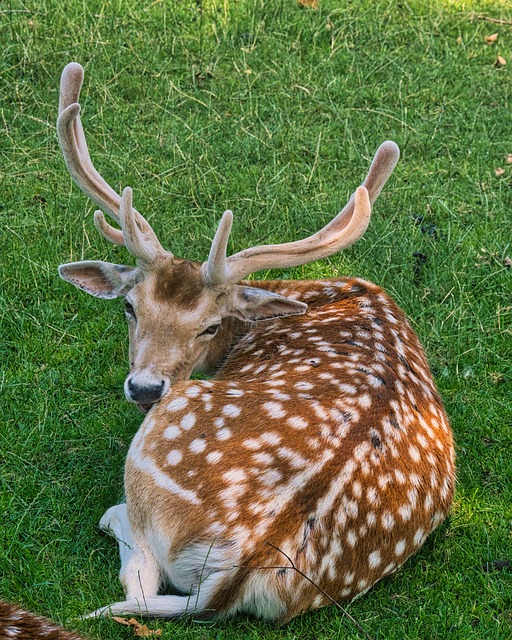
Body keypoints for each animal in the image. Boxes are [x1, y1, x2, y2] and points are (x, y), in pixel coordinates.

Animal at [57, 62, 456, 624]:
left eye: (210, 325)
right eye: (129, 307)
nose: (144, 388)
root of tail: (235, 569)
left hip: (168, 429)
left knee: (137, 575)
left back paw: (114, 517)